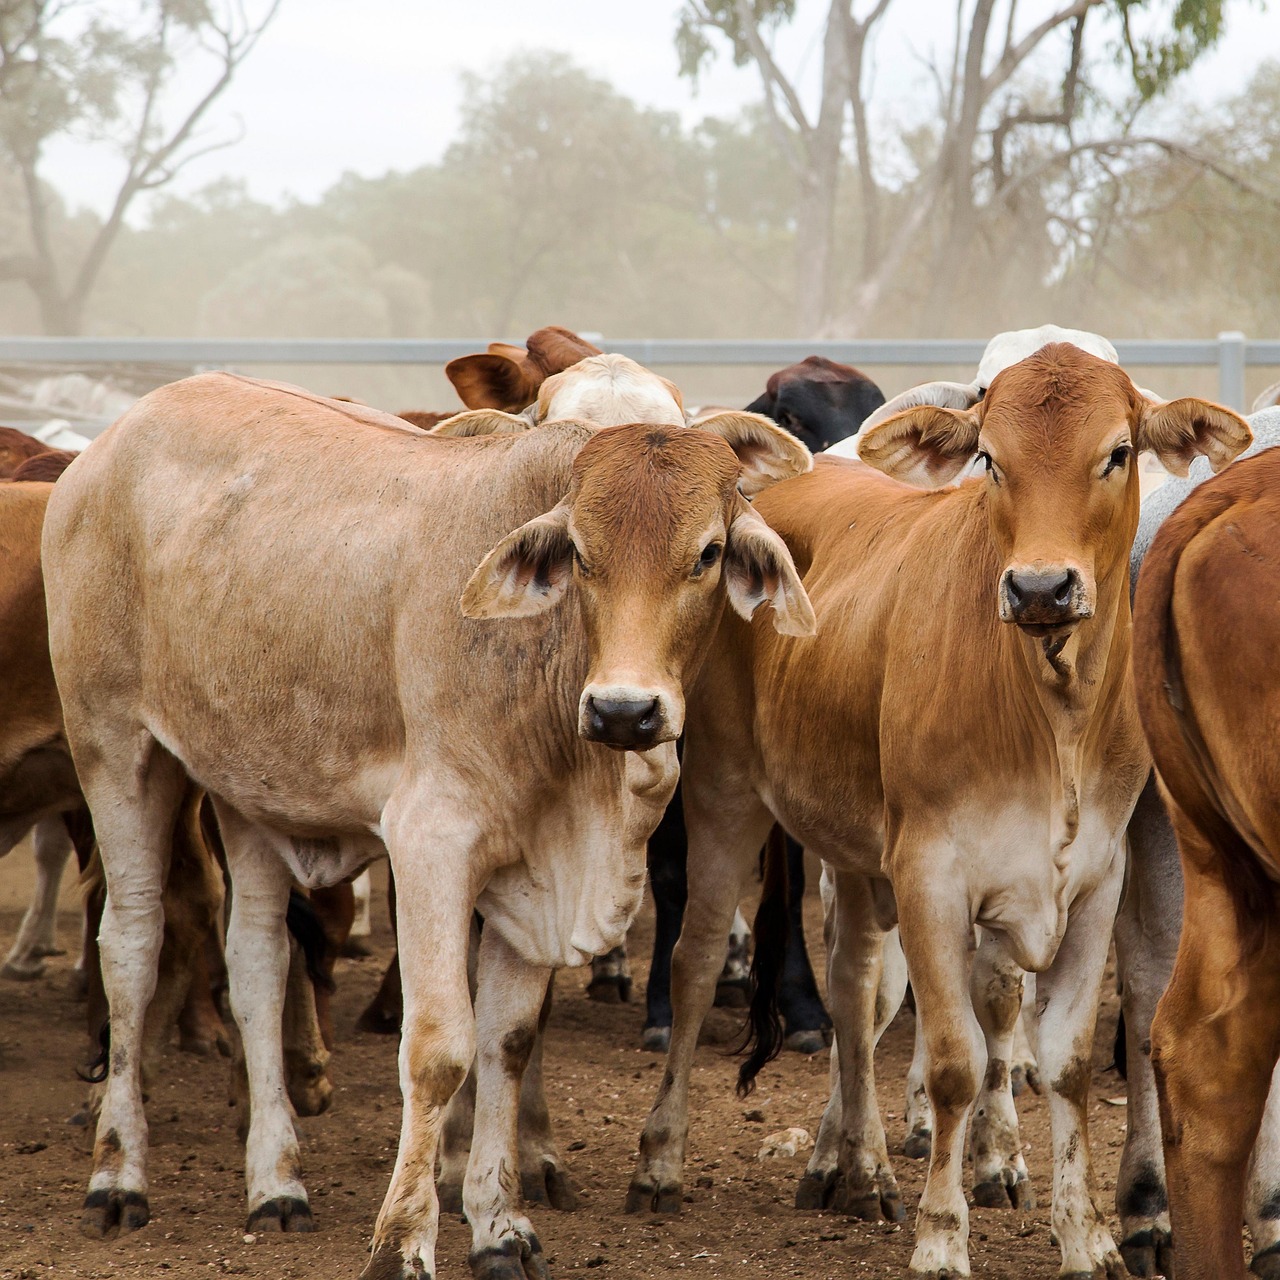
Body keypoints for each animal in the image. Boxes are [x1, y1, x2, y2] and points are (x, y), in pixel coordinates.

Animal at [42, 371, 814, 1278]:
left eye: (707, 554)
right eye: (581, 555)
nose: (625, 711)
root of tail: (115, 436)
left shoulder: (531, 871)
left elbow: (508, 1040)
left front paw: (500, 1227)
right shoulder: (431, 843)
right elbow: (442, 1047)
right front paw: (403, 1240)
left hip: (249, 787)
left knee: (258, 963)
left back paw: (276, 1183)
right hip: (114, 747)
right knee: (130, 947)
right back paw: (117, 1176)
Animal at [626, 341, 1250, 1279]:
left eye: (1117, 452)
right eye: (990, 458)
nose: (1040, 588)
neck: (1050, 716)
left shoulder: (1095, 882)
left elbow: (1064, 1062)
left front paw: (1085, 1237)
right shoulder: (930, 873)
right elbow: (958, 1061)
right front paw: (942, 1240)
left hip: (849, 846)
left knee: (853, 988)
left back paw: (859, 1170)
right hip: (725, 796)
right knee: (696, 963)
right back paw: (662, 1161)